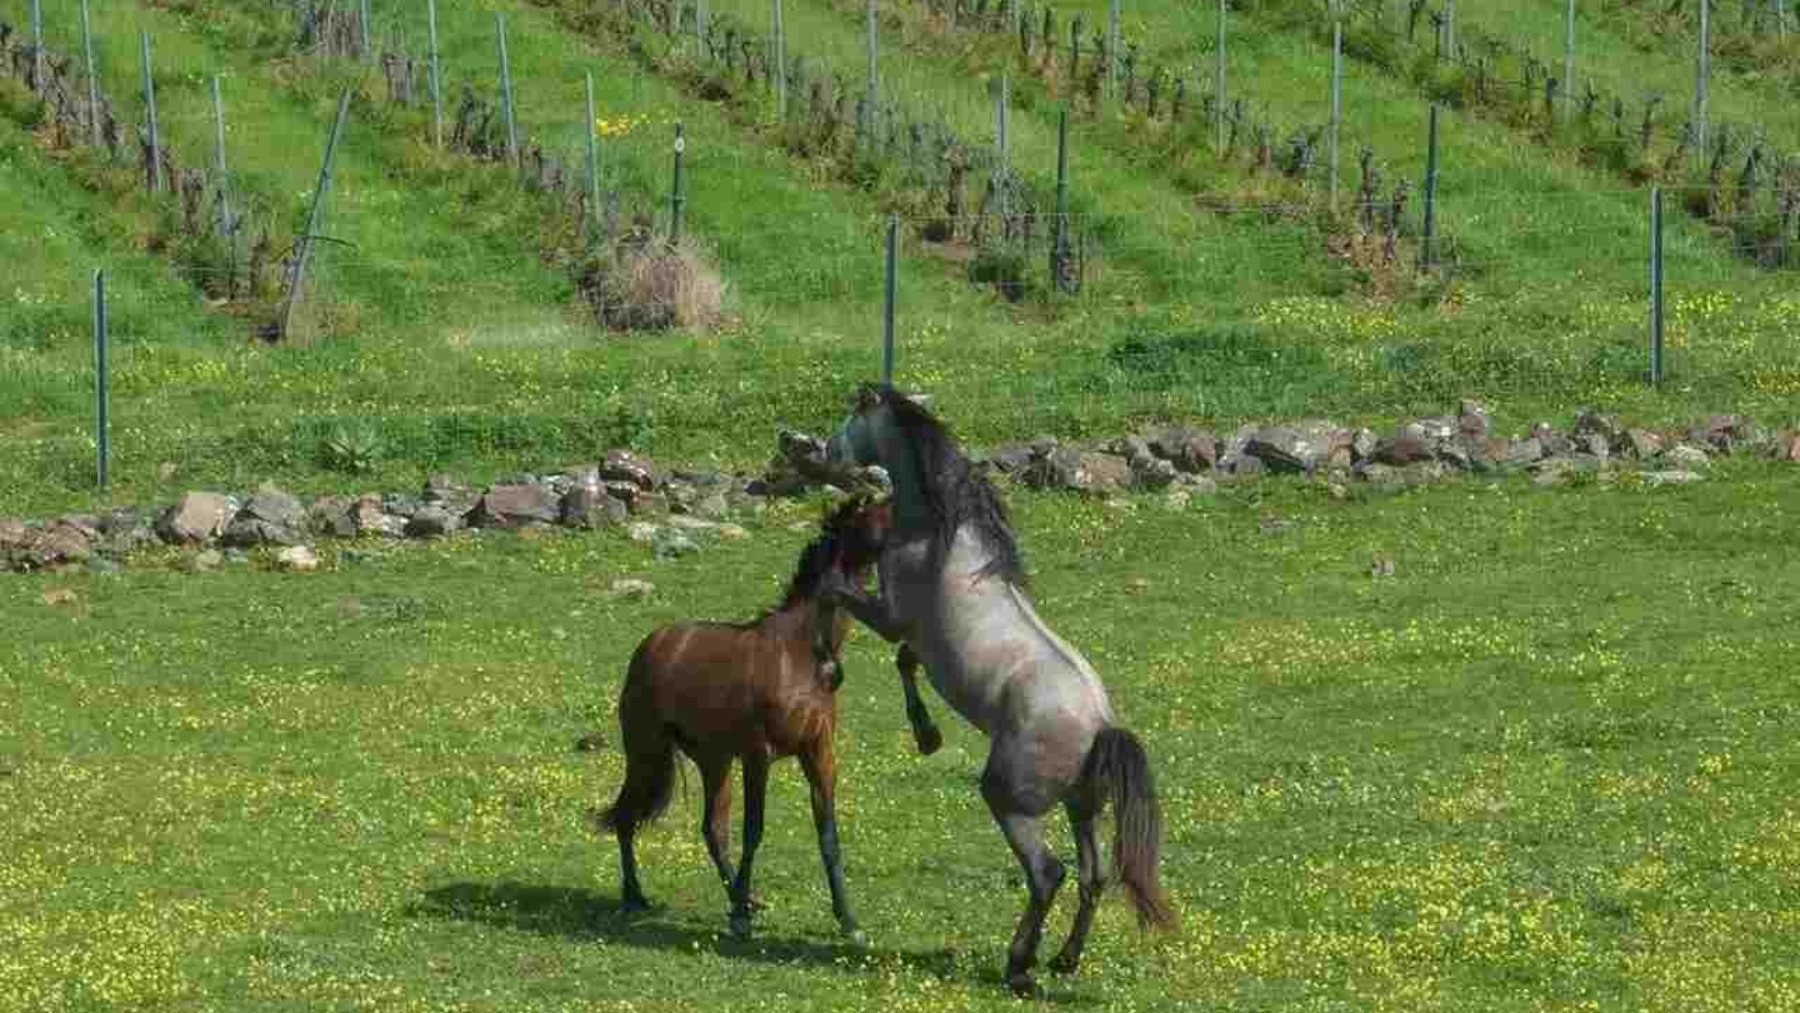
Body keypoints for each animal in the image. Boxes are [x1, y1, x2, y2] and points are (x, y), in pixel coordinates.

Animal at [594, 500, 889, 942]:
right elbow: (754, 830)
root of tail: (652, 644)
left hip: (713, 761)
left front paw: (848, 920)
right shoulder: (758, 756)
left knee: (713, 830)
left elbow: (828, 834)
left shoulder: (818, 753)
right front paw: (741, 920)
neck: (799, 653)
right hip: (647, 750)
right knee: (628, 814)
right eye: (882, 515)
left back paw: (742, 898)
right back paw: (636, 896)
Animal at [824, 386, 1173, 1000]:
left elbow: (846, 599)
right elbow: (905, 661)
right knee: (1093, 875)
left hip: (1009, 800)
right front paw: (928, 735)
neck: (943, 537)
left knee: (1048, 873)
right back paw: (1063, 961)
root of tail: (1101, 725)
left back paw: (1020, 966)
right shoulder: (911, 637)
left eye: (852, 416)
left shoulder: (890, 617)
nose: (824, 447)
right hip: (1082, 808)